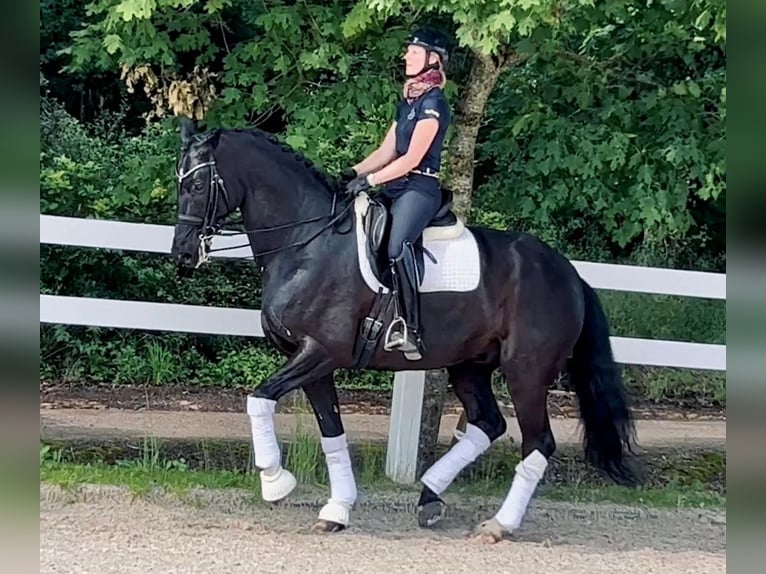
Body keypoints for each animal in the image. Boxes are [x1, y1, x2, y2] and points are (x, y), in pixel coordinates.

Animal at [170, 118, 640, 544]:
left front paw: (274, 481)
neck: (307, 242)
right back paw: (430, 496)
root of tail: (569, 273)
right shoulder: (310, 361)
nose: (183, 253)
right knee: (487, 424)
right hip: (470, 366)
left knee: (538, 442)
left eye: (198, 184)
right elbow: (331, 431)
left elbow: (259, 399)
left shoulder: (320, 352)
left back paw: (497, 525)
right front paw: (337, 509)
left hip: (526, 372)